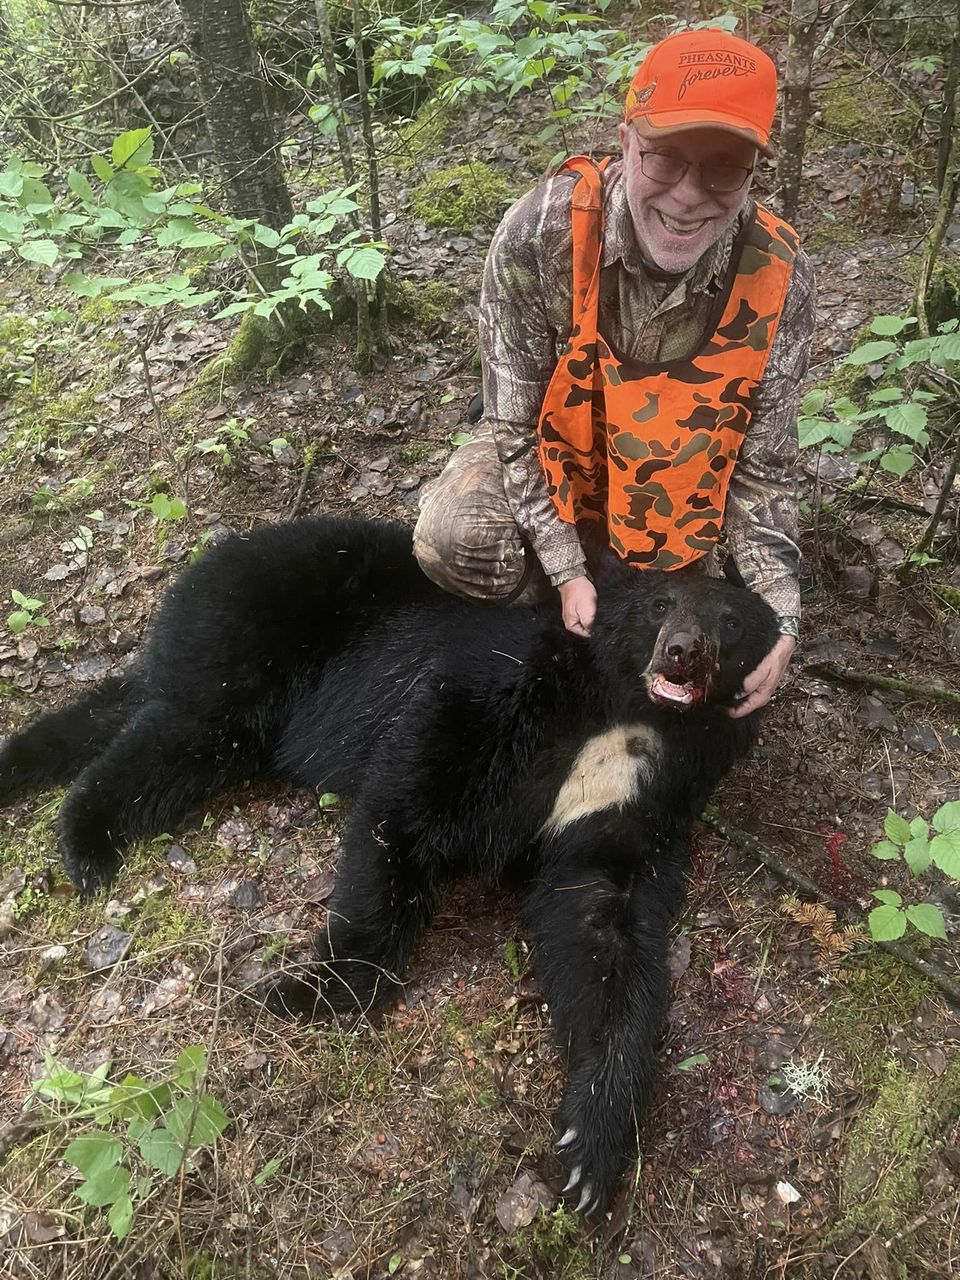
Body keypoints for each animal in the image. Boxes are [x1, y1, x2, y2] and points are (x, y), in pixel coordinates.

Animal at [0, 515, 779, 1215]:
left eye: (734, 622)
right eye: (660, 603)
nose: (683, 651)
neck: (624, 718)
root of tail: (214, 556)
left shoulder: (639, 809)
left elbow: (603, 932)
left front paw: (591, 1147)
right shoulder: (498, 694)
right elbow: (411, 796)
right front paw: (314, 987)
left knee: (163, 735)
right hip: (244, 632)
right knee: (174, 731)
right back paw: (85, 840)